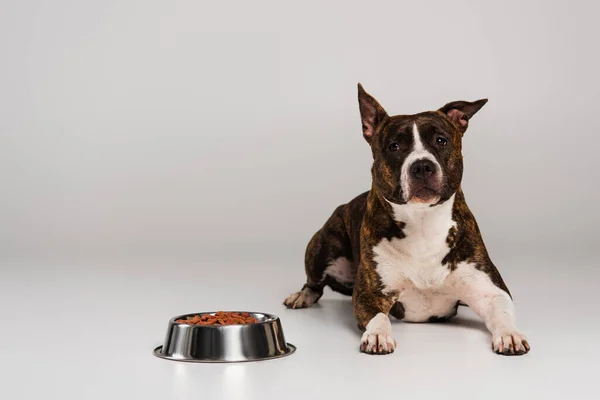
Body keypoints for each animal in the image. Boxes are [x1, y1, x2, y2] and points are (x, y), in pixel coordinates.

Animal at [282, 84, 528, 356]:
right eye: (394, 146)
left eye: (440, 140)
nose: (422, 166)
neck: (423, 222)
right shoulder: (370, 293)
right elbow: (379, 316)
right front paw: (378, 335)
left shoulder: (490, 291)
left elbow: (502, 311)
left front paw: (510, 334)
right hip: (323, 245)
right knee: (314, 283)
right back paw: (301, 296)